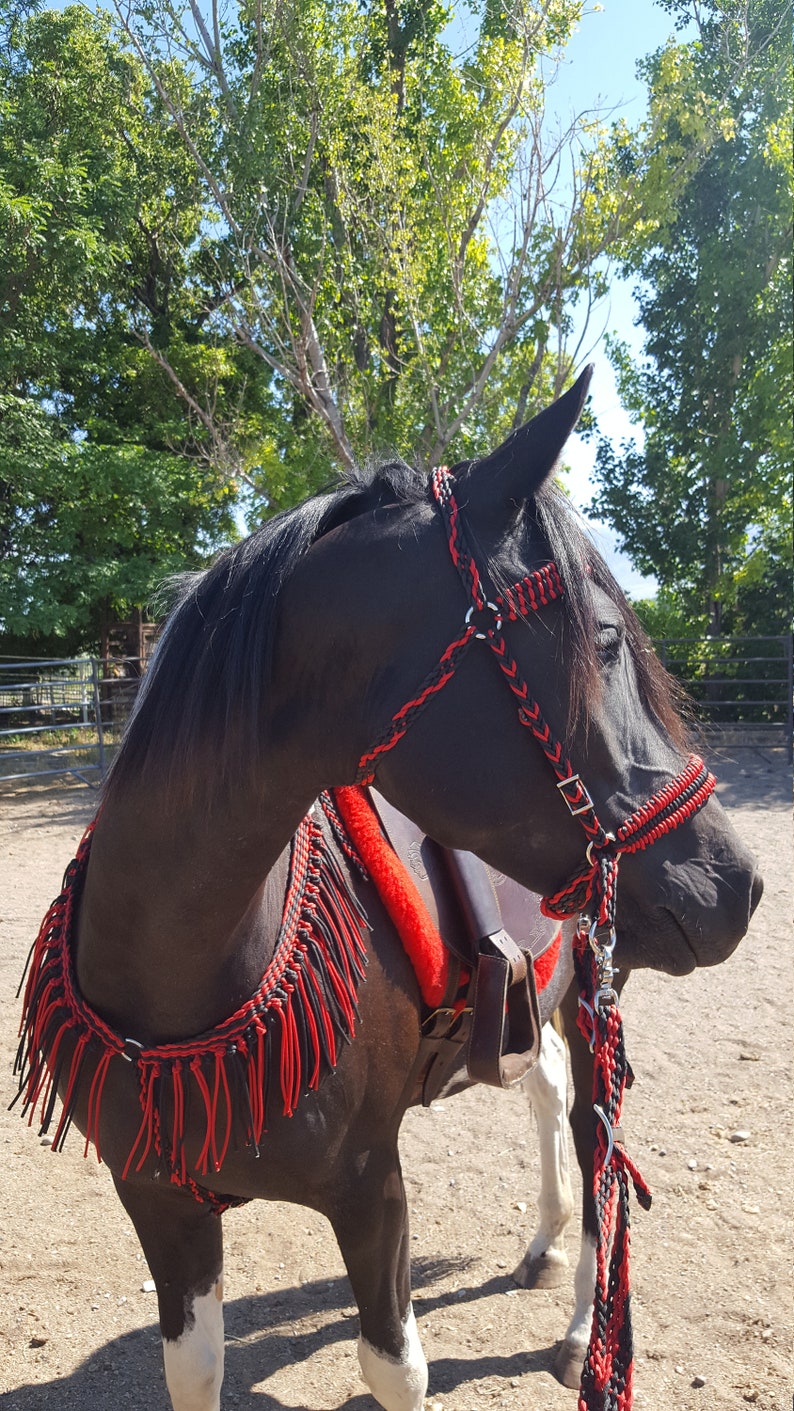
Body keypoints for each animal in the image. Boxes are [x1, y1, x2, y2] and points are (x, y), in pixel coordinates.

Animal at [14, 367, 762, 1411]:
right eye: (608, 641)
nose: (735, 882)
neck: (184, 970)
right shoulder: (158, 1202)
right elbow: (194, 1364)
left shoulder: (371, 1190)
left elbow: (393, 1365)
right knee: (548, 1093)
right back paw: (539, 1247)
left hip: (595, 996)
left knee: (593, 1142)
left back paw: (582, 1328)